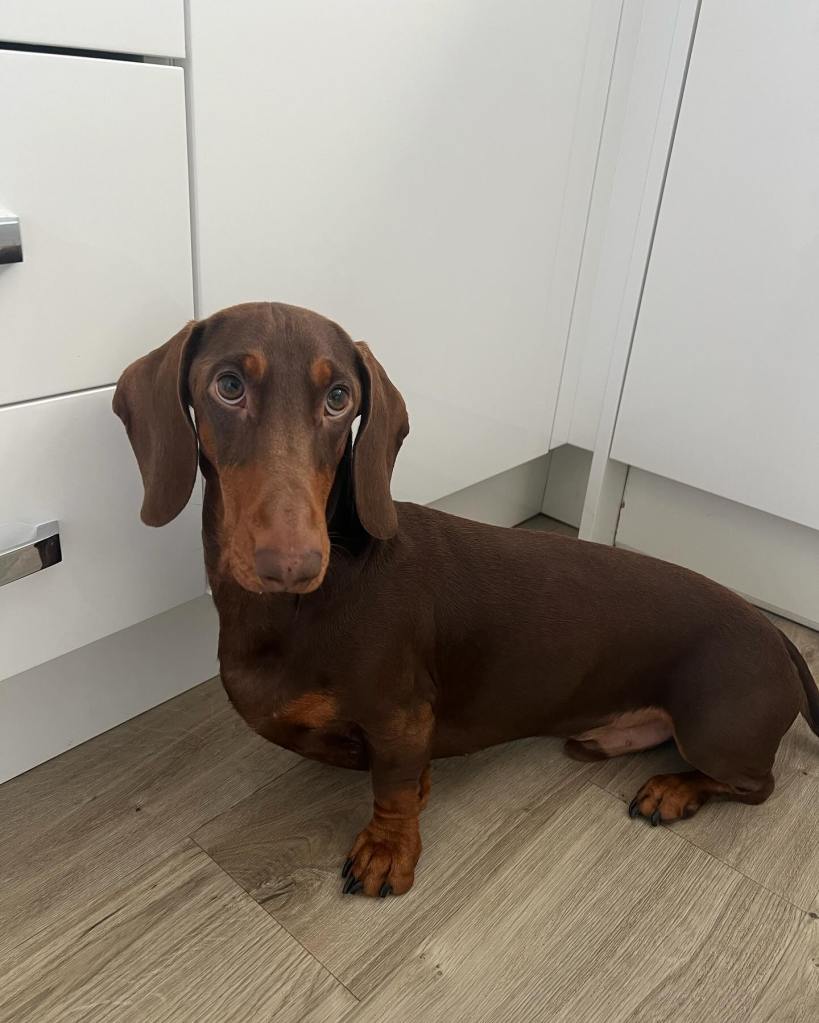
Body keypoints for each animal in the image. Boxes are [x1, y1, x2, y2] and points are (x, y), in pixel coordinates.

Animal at [115, 300, 817, 896]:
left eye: (340, 397)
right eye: (228, 385)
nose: (293, 564)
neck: (293, 613)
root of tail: (777, 637)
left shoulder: (401, 718)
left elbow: (394, 787)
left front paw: (388, 850)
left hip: (714, 730)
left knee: (759, 784)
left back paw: (674, 790)